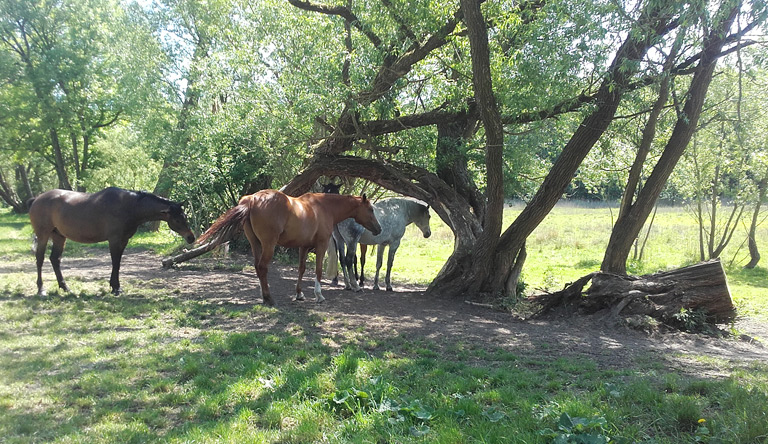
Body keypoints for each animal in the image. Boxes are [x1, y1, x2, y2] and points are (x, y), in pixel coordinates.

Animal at [29, 186, 198, 294]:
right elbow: (115, 262)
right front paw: (115, 287)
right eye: (177, 220)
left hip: (58, 236)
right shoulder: (115, 240)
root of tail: (36, 199)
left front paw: (114, 286)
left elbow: (118, 262)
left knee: (55, 259)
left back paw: (65, 288)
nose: (191, 237)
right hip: (43, 235)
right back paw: (41, 289)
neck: (129, 206)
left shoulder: (123, 240)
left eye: (185, 216)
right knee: (40, 259)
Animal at [195, 189, 380, 306]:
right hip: (268, 245)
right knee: (262, 267)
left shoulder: (303, 247)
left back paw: (264, 297)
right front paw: (318, 295)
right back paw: (269, 298)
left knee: (257, 267)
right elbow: (318, 270)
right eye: (371, 209)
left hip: (256, 244)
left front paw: (299, 294)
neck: (323, 207)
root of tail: (252, 199)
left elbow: (301, 269)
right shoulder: (321, 245)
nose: (379, 229)